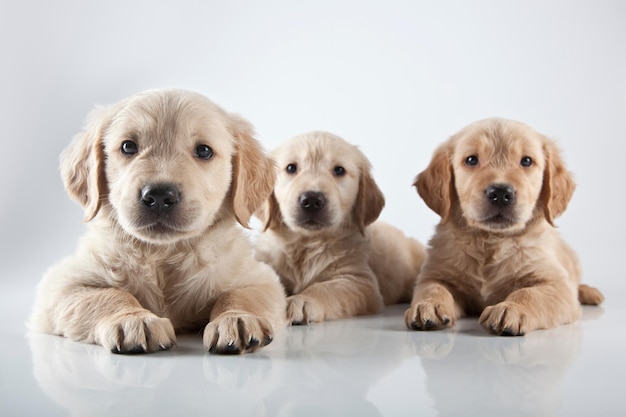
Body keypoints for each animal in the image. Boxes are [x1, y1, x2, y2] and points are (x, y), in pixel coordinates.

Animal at [28, 89, 284, 352]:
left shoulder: (261, 278)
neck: (163, 254)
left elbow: (239, 295)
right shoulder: (61, 284)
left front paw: (237, 318)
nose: (159, 196)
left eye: (204, 151)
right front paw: (133, 320)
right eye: (128, 146)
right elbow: (107, 295)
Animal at [254, 132, 424, 324]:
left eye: (339, 170)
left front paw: (301, 300)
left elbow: (324, 289)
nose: (311, 200)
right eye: (291, 168)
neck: (306, 244)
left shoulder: (358, 281)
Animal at [402, 117, 604, 334]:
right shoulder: (435, 274)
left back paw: (590, 292)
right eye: (471, 160)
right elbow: (433, 287)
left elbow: (529, 294)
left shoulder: (558, 285)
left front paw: (510, 309)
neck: (491, 240)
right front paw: (428, 305)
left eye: (526, 161)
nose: (500, 193)